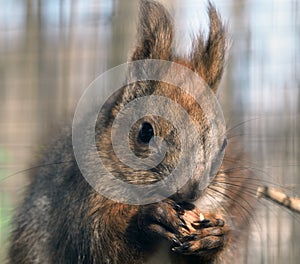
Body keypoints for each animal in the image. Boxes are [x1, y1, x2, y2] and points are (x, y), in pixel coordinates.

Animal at [9, 0, 258, 264]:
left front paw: (214, 238)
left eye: (223, 145)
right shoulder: (81, 202)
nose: (189, 192)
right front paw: (148, 218)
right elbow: (100, 242)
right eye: (145, 132)